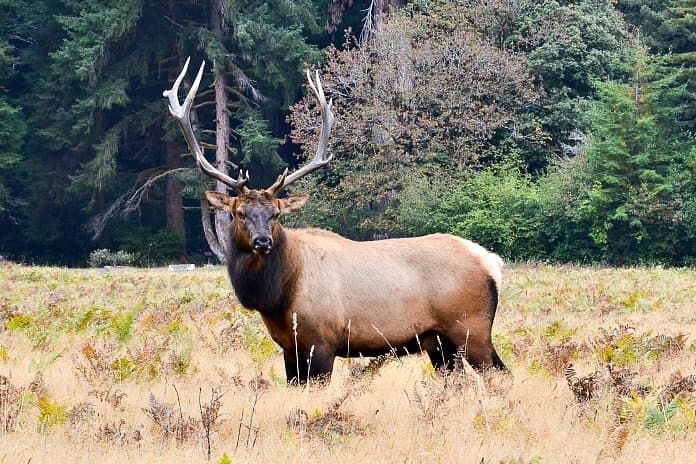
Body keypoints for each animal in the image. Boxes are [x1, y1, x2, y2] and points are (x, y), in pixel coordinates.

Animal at [164, 58, 507, 383]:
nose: (263, 241)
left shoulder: (322, 343)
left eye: (275, 214)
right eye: (239, 213)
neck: (279, 297)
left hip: (471, 327)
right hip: (438, 342)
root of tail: (491, 261)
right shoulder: (289, 348)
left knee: (500, 374)